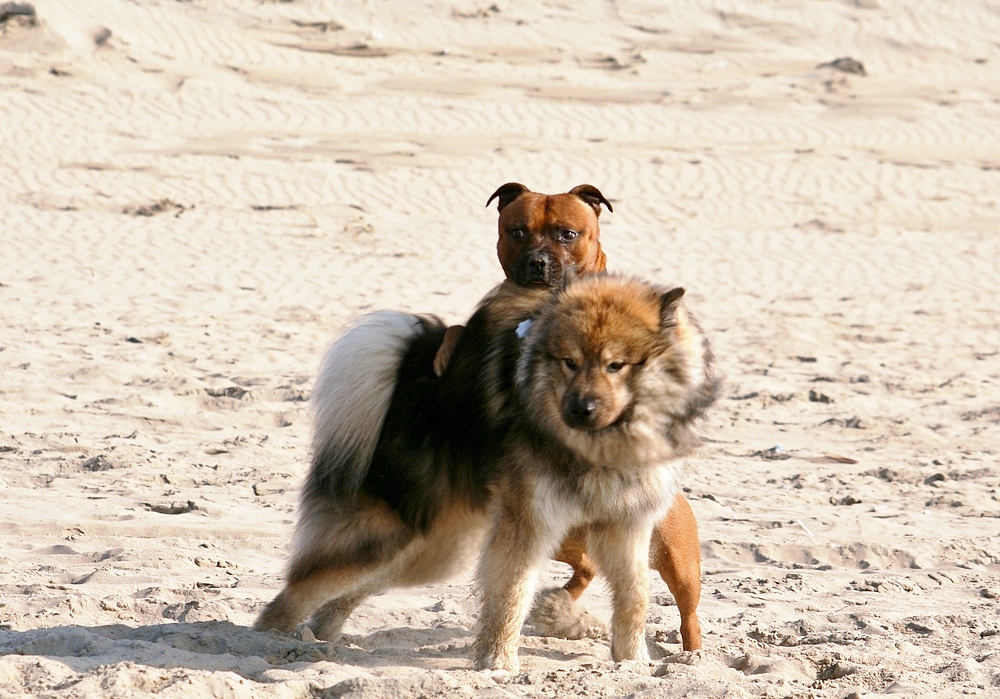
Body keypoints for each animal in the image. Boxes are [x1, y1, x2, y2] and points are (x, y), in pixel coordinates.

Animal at [254, 274, 716, 672]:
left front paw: (633, 662)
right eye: (569, 362)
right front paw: (497, 664)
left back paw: (319, 637)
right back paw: (272, 640)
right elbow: (511, 595)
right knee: (297, 592)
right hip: (392, 538)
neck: (602, 449)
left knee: (345, 591)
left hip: (432, 550)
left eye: (616, 365)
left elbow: (635, 596)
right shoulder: (530, 524)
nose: (579, 409)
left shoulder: (626, 524)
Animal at [432, 183, 704, 652]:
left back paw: (692, 656)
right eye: (517, 231)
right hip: (557, 536)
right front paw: (446, 352)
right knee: (584, 569)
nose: (538, 262)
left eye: (567, 233)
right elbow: (459, 330)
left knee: (688, 615)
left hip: (678, 562)